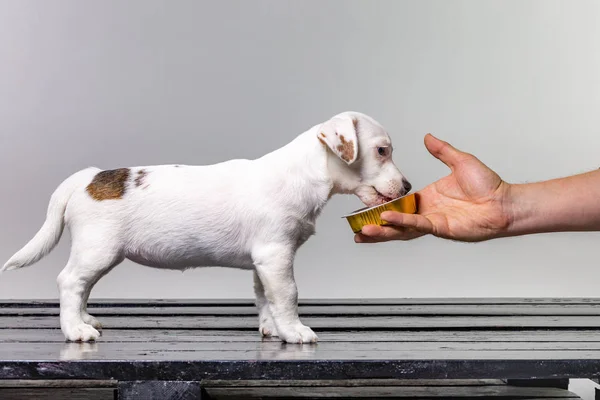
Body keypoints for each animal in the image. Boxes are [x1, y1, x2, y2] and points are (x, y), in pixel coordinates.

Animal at [3, 111, 411, 343]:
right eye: (382, 151)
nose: (407, 187)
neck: (305, 173)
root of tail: (90, 178)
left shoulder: (263, 263)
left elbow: (265, 297)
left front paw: (271, 328)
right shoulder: (277, 255)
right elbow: (288, 295)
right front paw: (294, 332)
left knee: (82, 287)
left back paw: (84, 318)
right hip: (97, 250)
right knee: (71, 282)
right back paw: (75, 330)